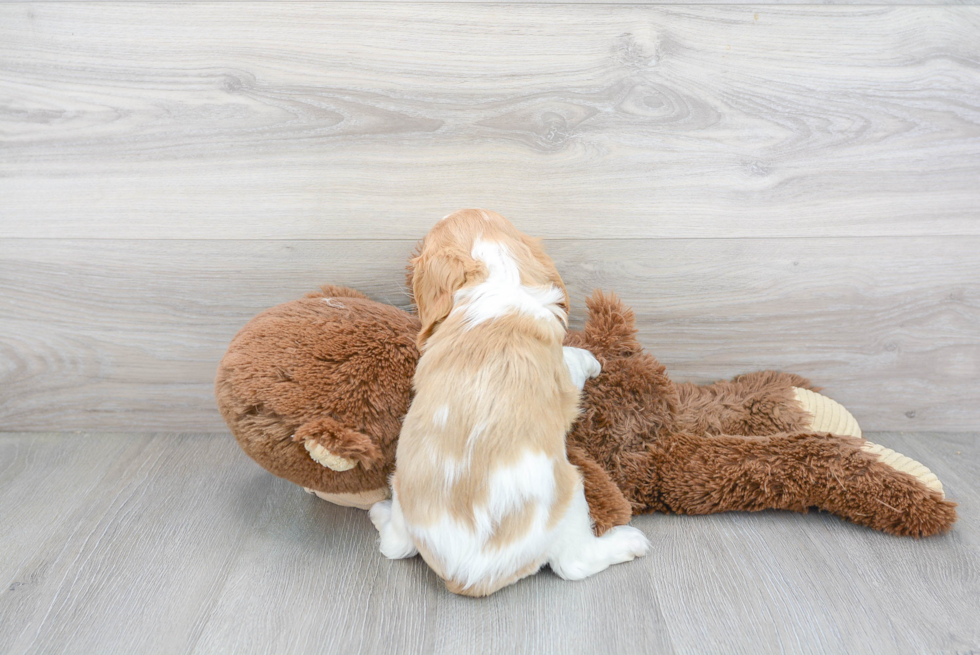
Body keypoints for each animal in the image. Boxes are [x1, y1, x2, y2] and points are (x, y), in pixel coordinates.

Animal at [370, 209, 652, 596]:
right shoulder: (562, 368)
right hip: (571, 493)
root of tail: (468, 574)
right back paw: (628, 542)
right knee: (574, 563)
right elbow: (575, 359)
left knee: (396, 545)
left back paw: (379, 512)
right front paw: (593, 361)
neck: (495, 278)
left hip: (401, 484)